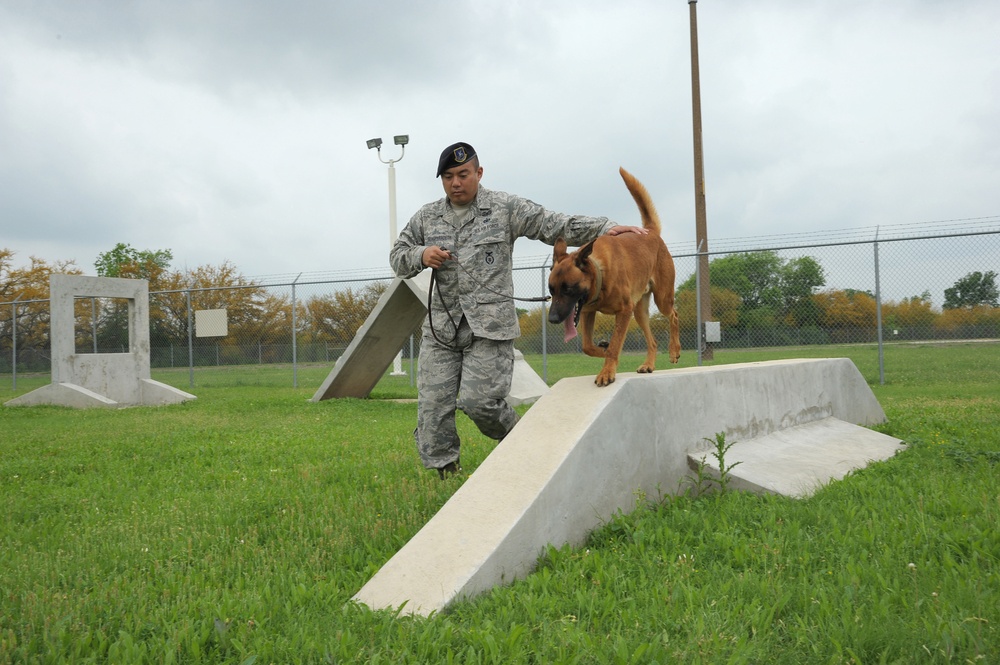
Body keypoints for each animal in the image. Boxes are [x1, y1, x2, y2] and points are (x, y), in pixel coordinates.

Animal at [548, 166, 680, 386]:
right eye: (551, 290)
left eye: (568, 289)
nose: (552, 319)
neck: (600, 274)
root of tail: (650, 232)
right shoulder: (587, 312)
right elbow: (588, 346)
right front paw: (603, 348)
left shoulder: (624, 311)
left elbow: (615, 345)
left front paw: (607, 371)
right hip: (639, 311)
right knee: (652, 341)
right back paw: (648, 364)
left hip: (661, 298)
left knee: (674, 315)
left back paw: (674, 350)